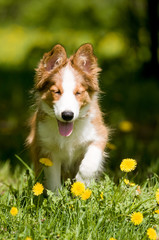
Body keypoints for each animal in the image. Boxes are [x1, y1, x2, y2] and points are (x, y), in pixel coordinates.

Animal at [27, 43, 109, 191]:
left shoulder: (99, 134)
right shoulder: (47, 149)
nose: (67, 115)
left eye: (78, 93)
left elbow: (89, 164)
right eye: (56, 91)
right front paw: (57, 196)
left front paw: (81, 184)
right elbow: (53, 181)